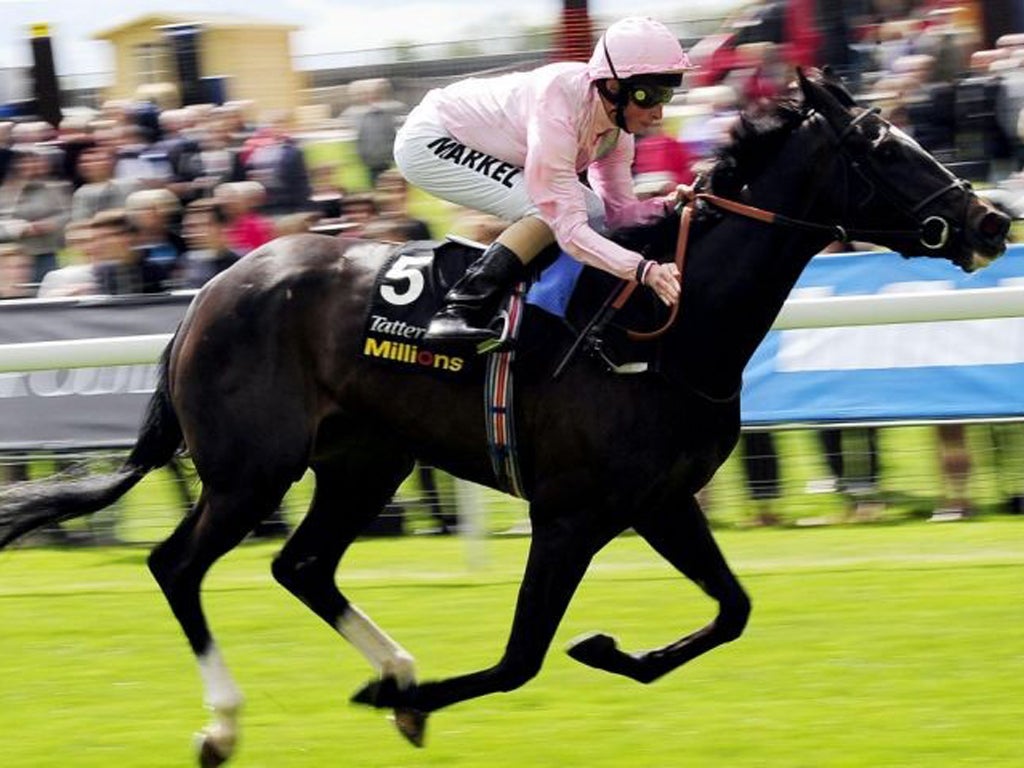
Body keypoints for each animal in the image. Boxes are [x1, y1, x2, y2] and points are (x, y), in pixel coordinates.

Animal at [0, 69, 1007, 765]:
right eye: (883, 148)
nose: (991, 221)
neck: (666, 330)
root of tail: (210, 291)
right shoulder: (570, 516)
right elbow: (523, 657)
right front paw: (434, 696)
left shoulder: (660, 502)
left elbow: (733, 611)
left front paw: (603, 650)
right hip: (253, 469)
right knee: (179, 566)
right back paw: (227, 725)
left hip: (365, 461)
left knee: (303, 564)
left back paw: (395, 669)